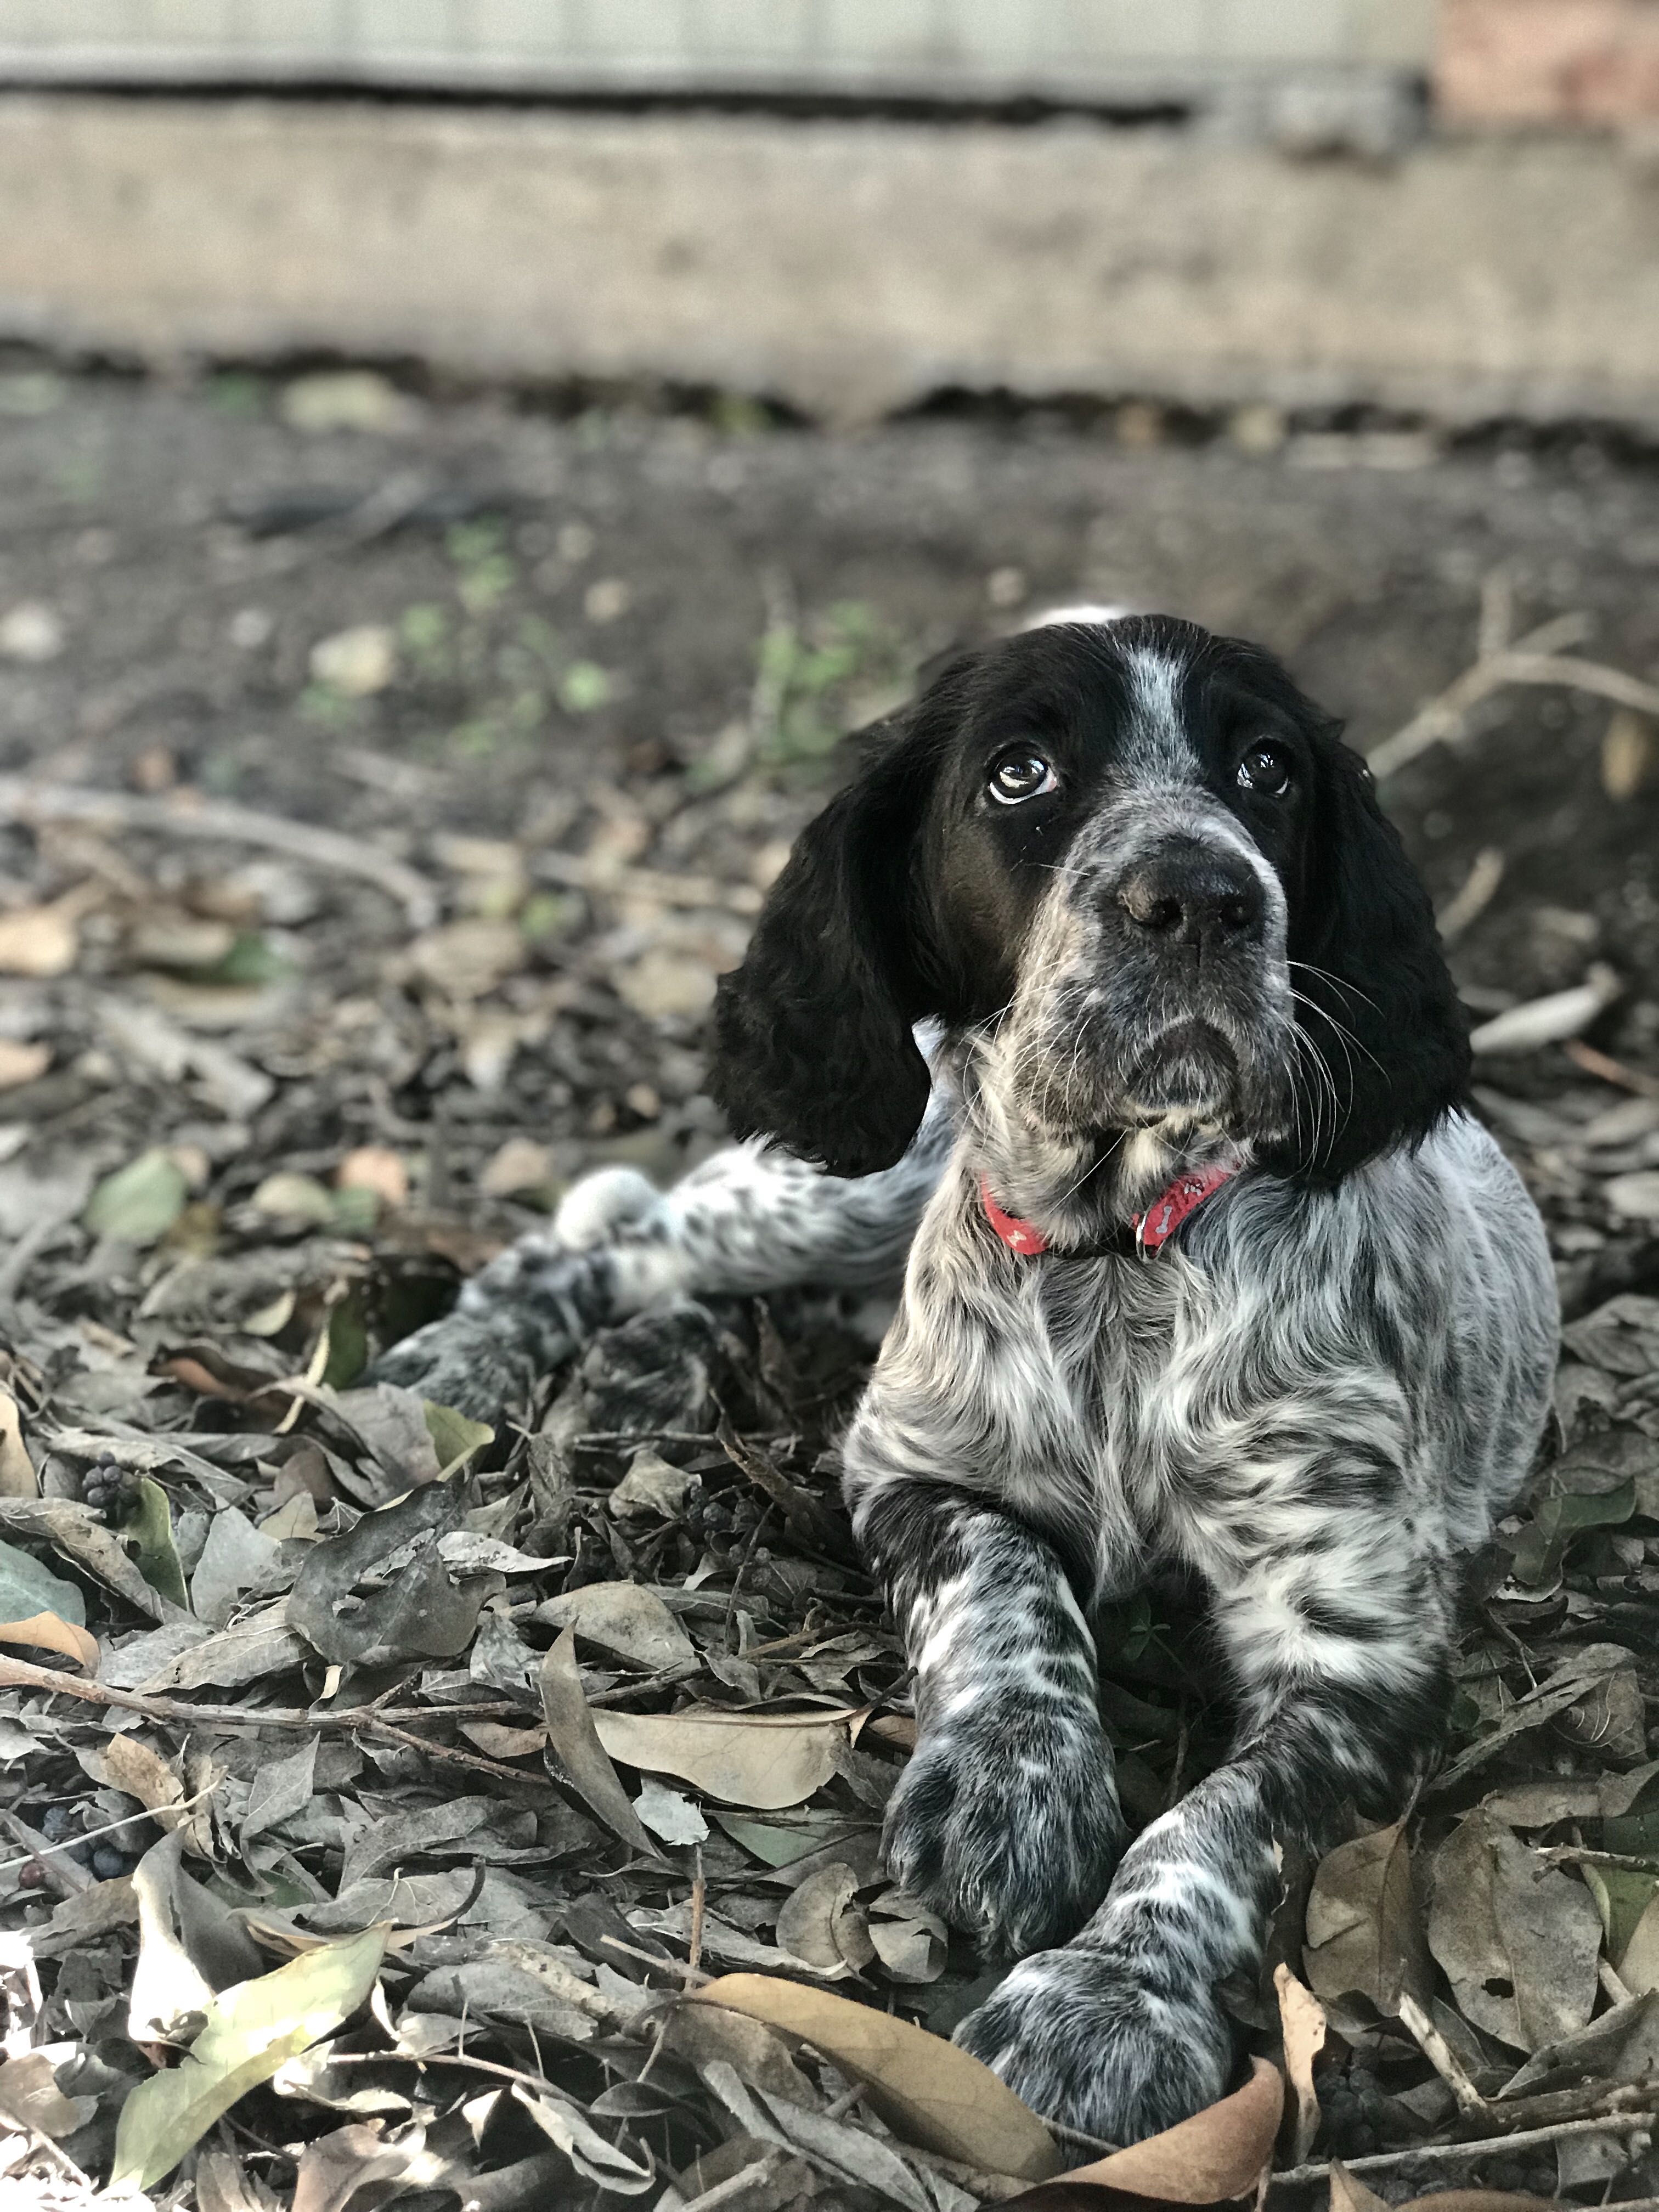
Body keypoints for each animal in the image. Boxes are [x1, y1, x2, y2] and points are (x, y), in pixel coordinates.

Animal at [374, 614, 1557, 2150]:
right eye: (1020, 773)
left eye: (1267, 769)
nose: (1202, 899)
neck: (1117, 1252)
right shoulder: (912, 1467)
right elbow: (1003, 1588)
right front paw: (1015, 1790)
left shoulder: (1361, 1651)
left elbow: (1225, 1821)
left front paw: (1105, 1999)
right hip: (853, 1177)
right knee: (622, 1234)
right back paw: (472, 1359)